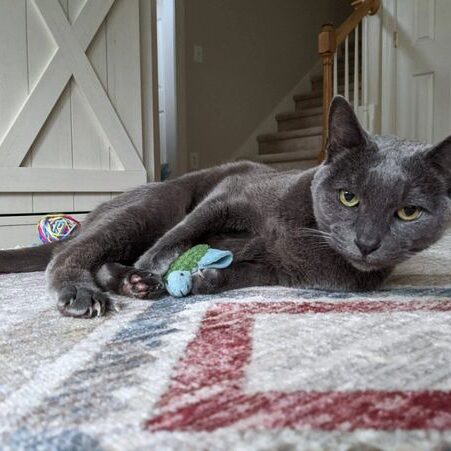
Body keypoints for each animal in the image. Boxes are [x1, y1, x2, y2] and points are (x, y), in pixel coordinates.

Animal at [0, 98, 451, 318]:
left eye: (409, 212)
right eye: (349, 197)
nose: (367, 243)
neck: (308, 237)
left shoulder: (276, 272)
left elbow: (238, 274)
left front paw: (203, 280)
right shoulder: (232, 194)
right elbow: (181, 235)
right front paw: (154, 267)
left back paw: (132, 282)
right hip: (154, 205)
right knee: (68, 254)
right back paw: (90, 290)